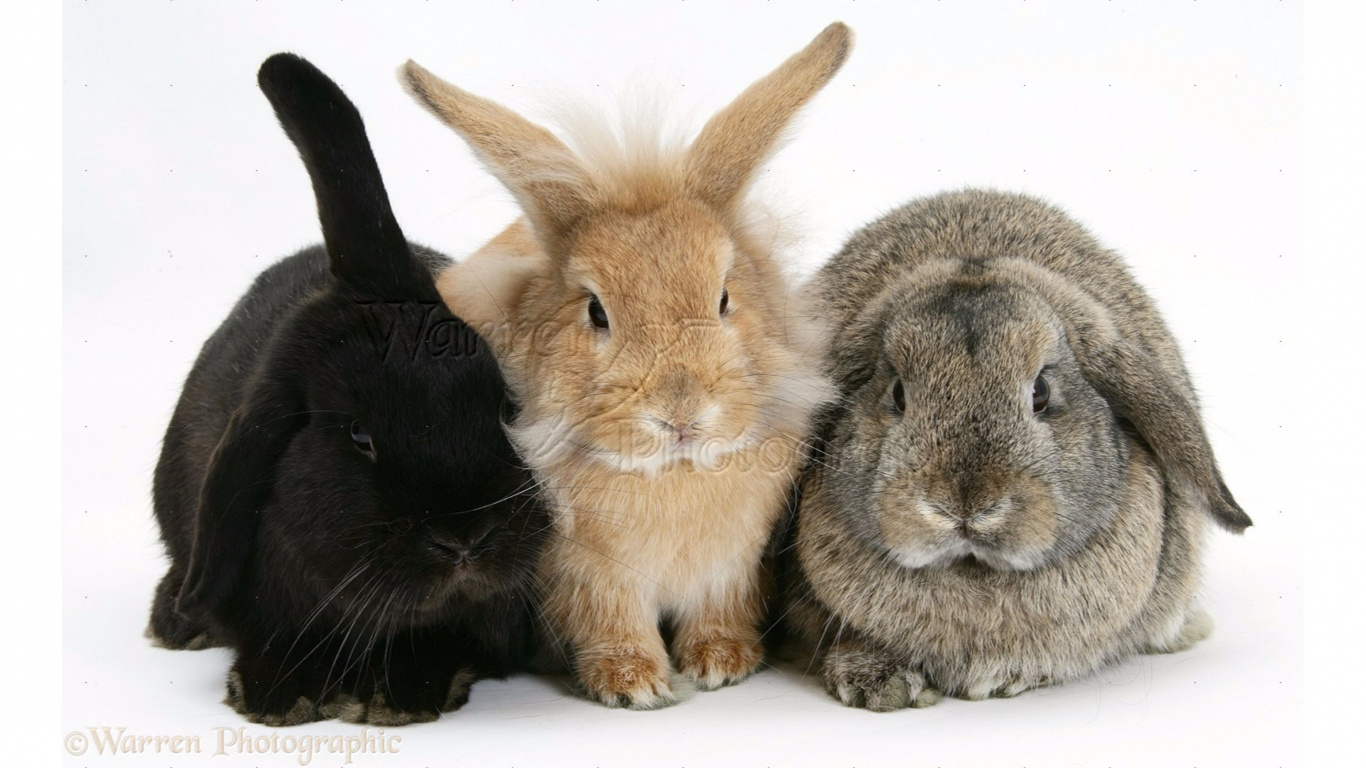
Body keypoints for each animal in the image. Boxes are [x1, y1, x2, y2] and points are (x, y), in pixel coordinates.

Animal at [145, 53, 548, 727]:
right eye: (359, 435)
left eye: (504, 408)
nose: (464, 541)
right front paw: (278, 693)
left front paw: (402, 691)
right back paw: (173, 620)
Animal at [398, 23, 850, 708]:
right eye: (596, 311)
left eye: (724, 297)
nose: (681, 413)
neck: (672, 474)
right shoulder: (589, 576)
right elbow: (611, 621)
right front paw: (632, 683)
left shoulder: (732, 567)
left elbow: (720, 610)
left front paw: (723, 663)